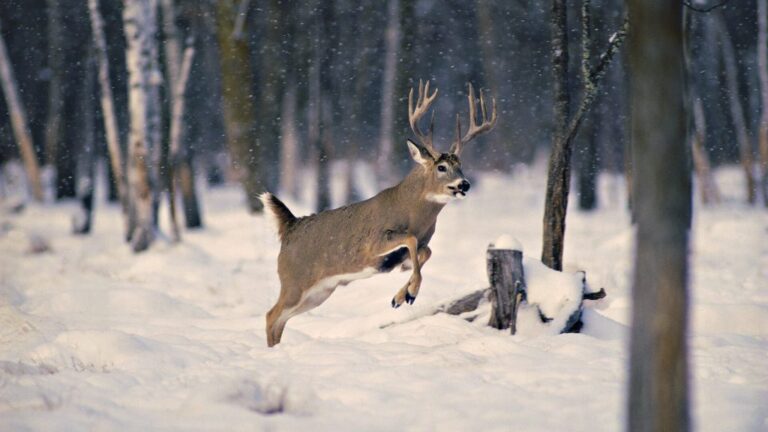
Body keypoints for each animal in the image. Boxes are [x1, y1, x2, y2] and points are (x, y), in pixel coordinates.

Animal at [260, 79, 496, 346]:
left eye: (461, 165)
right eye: (442, 167)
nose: (464, 184)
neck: (412, 213)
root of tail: (290, 225)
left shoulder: (422, 243)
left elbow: (425, 252)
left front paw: (401, 296)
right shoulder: (373, 244)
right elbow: (411, 240)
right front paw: (411, 293)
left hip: (319, 292)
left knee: (280, 319)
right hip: (294, 281)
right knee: (271, 315)